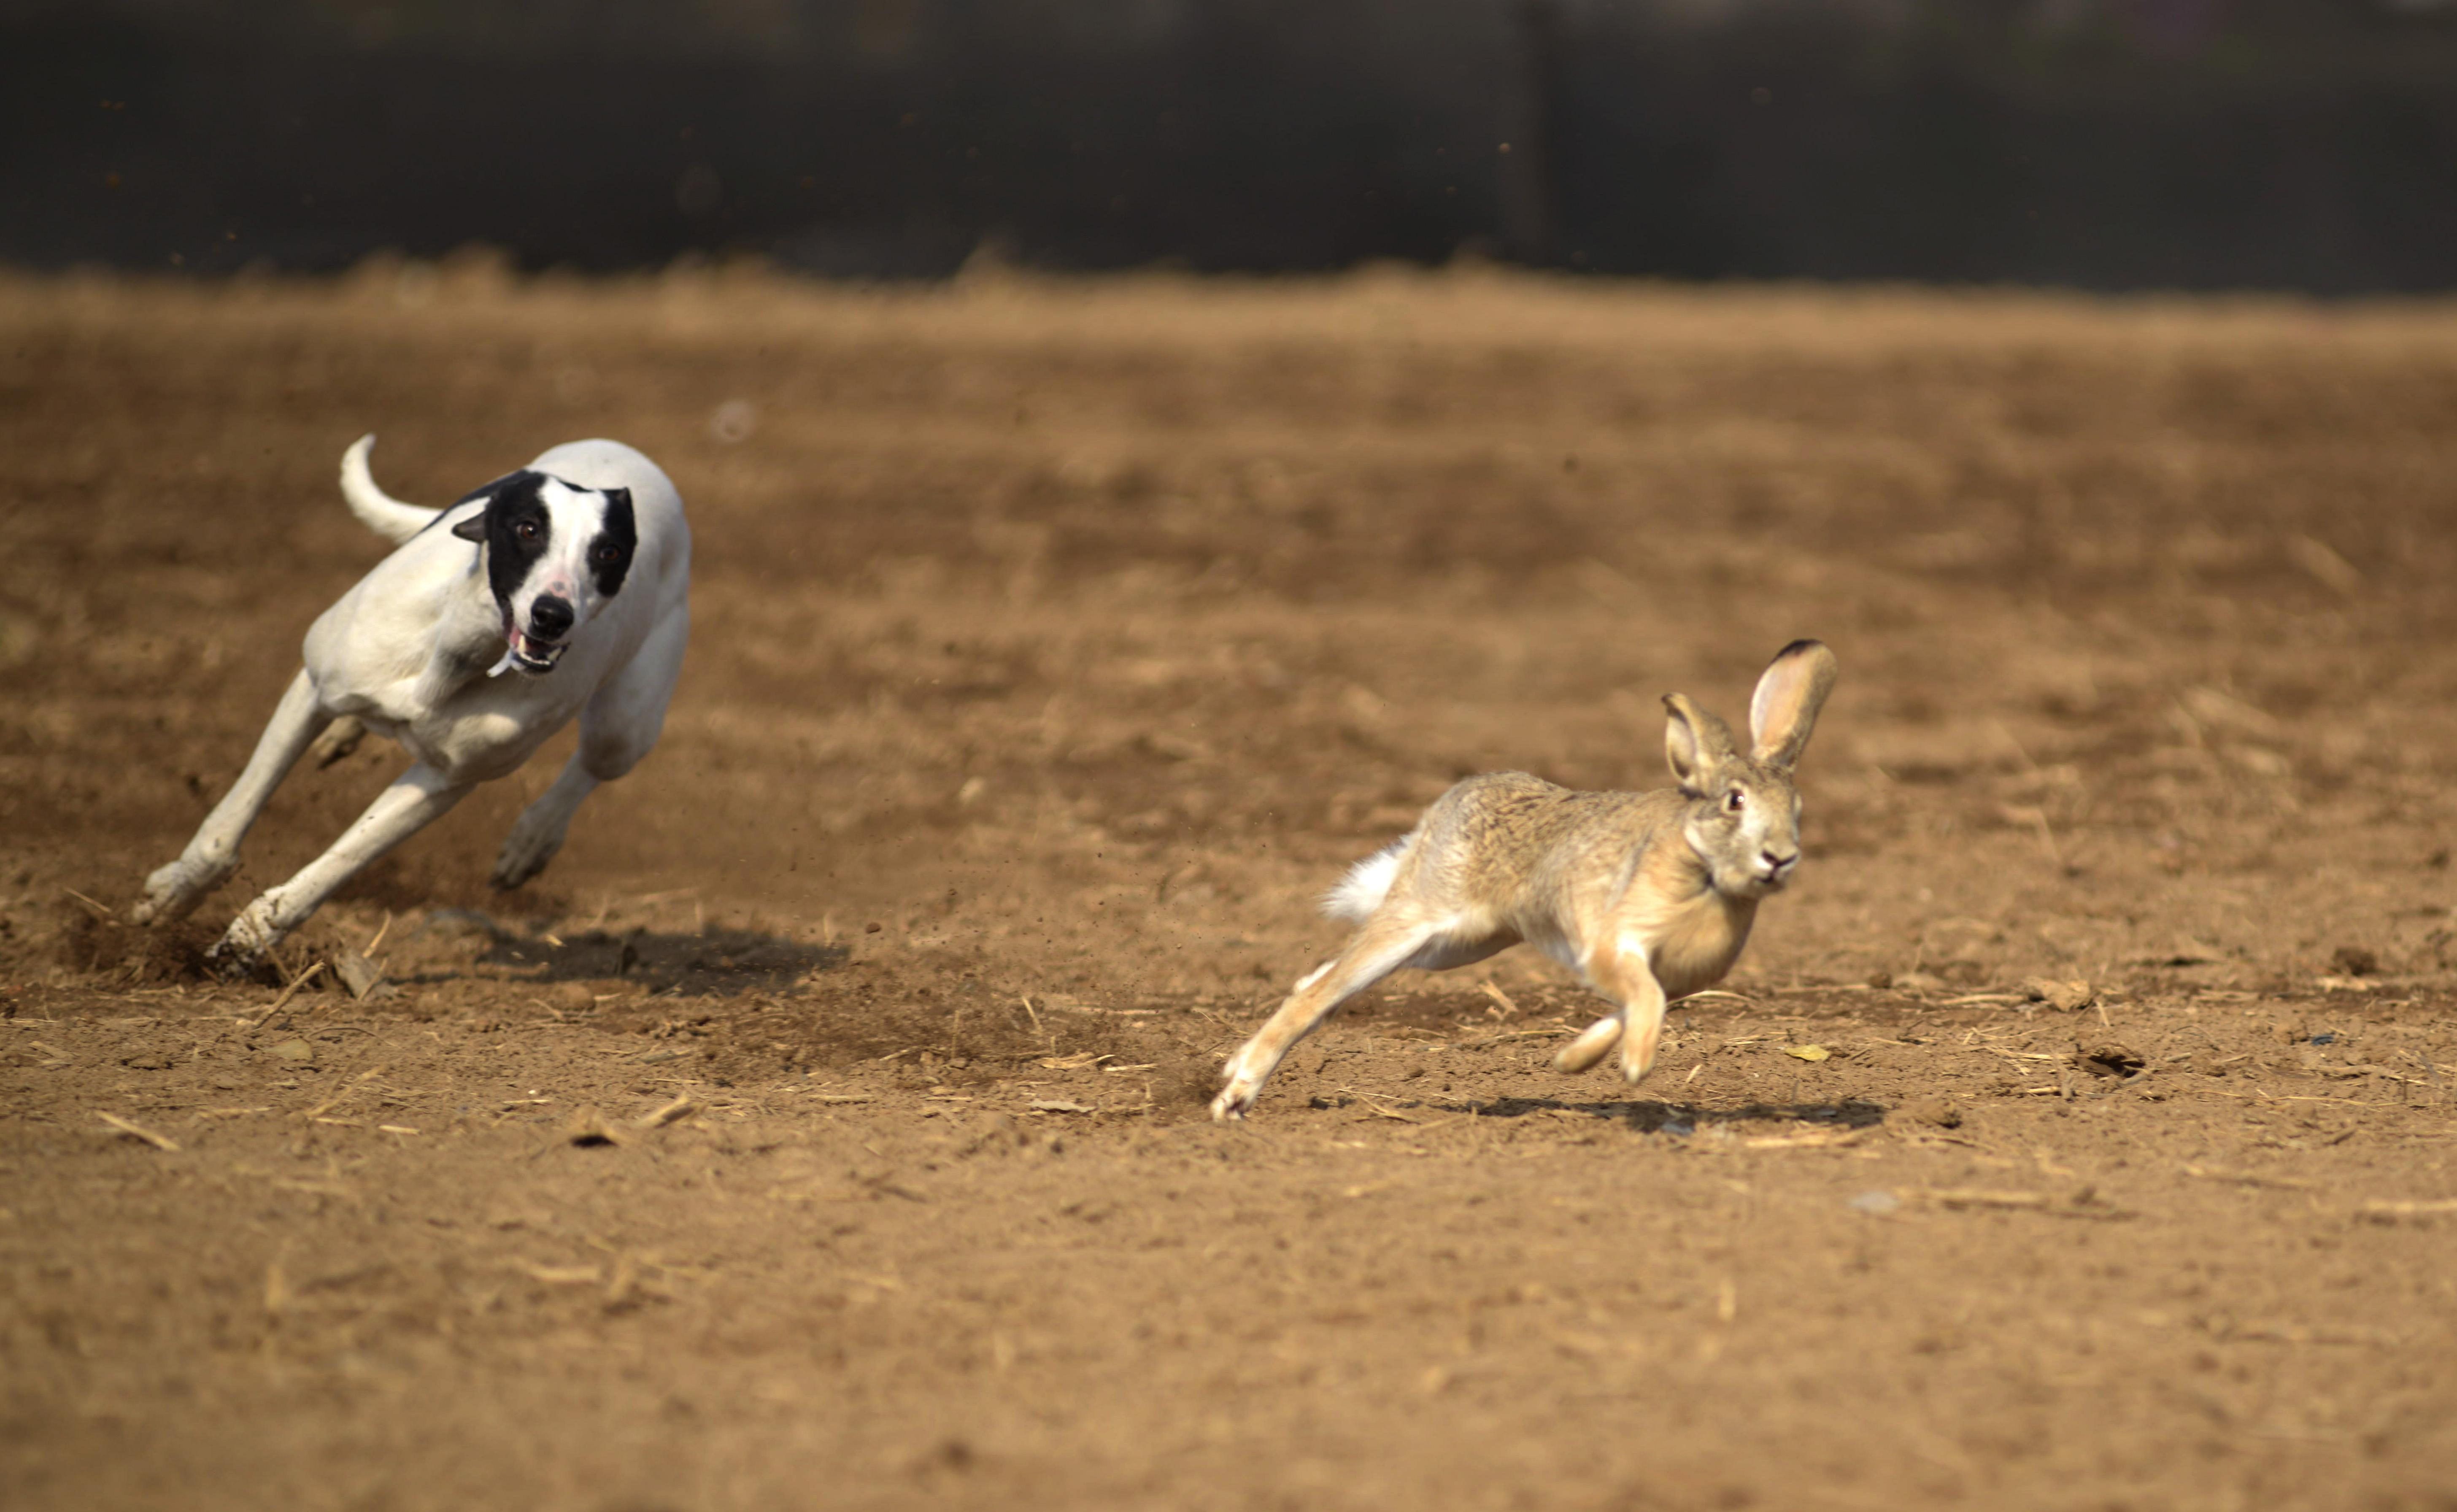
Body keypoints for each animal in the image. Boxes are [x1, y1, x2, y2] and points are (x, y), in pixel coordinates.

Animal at [134, 435, 693, 969]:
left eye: (609, 552)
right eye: (528, 529)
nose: (553, 615)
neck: (455, 656)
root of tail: (631, 456)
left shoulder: (446, 779)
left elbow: (346, 857)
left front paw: (252, 938)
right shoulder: (311, 690)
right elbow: (232, 815)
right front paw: (177, 891)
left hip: (626, 726)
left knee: (594, 764)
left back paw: (533, 838)